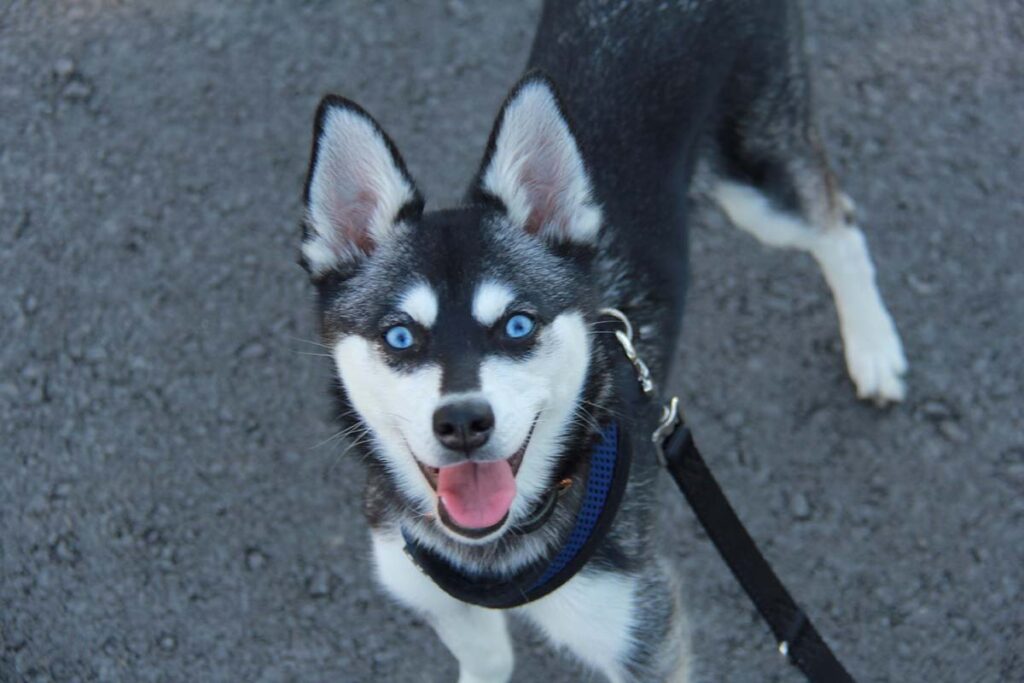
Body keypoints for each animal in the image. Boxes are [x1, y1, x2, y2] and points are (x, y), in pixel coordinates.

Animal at [296, 0, 905, 679]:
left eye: (517, 325)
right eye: (400, 335)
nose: (462, 423)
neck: (495, 554)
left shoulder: (644, 630)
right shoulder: (436, 600)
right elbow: (488, 656)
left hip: (760, 176)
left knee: (839, 224)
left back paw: (874, 348)